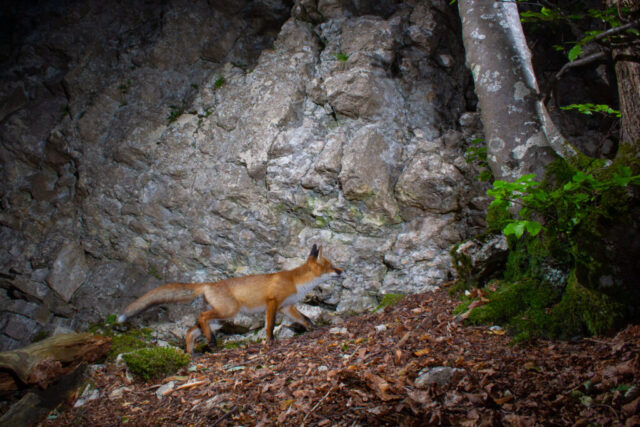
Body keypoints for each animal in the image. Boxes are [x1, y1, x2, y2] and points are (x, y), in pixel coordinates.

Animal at [117, 244, 343, 353]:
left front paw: (314, 329)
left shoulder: (286, 307)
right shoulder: (272, 303)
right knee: (201, 316)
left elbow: (305, 319)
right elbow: (269, 326)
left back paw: (193, 353)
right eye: (331, 266)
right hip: (228, 312)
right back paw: (210, 342)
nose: (342, 272)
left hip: (221, 319)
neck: (296, 281)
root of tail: (208, 284)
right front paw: (269, 342)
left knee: (191, 330)